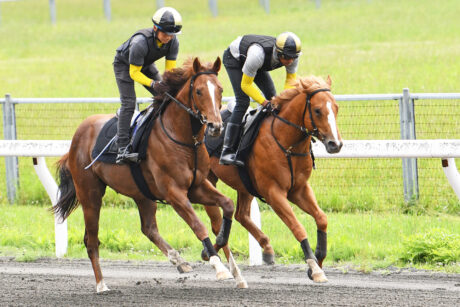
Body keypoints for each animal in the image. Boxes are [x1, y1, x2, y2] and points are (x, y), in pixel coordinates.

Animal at [53, 58, 246, 294]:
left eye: (220, 89)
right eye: (199, 91)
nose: (216, 126)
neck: (184, 141)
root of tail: (78, 134)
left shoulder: (198, 186)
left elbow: (227, 205)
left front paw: (229, 266)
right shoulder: (174, 193)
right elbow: (197, 225)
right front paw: (218, 266)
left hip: (142, 193)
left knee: (148, 228)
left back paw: (179, 261)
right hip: (90, 194)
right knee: (91, 240)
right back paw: (101, 285)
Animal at [205, 76, 342, 282]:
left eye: (336, 107)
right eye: (318, 110)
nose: (336, 144)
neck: (288, 144)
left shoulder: (299, 189)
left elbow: (322, 218)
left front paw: (318, 260)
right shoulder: (274, 193)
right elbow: (297, 227)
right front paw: (315, 268)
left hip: (244, 185)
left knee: (241, 215)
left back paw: (264, 248)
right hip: (205, 179)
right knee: (216, 221)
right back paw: (217, 258)